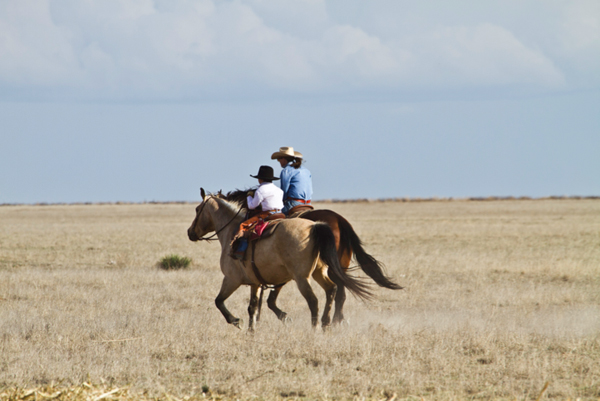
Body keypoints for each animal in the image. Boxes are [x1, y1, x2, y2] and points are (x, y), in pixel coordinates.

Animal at [188, 189, 370, 330]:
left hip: (302, 278)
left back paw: (315, 328)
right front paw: (251, 330)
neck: (231, 231)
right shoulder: (256, 282)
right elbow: (253, 307)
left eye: (197, 209)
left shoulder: (231, 279)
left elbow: (219, 301)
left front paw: (236, 321)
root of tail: (316, 226)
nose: (190, 232)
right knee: (332, 290)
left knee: (314, 300)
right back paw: (326, 324)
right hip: (320, 271)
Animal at [221, 189, 404, 324]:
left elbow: (269, 299)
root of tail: (339, 220)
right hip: (339, 267)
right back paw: (337, 320)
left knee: (336, 292)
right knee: (341, 294)